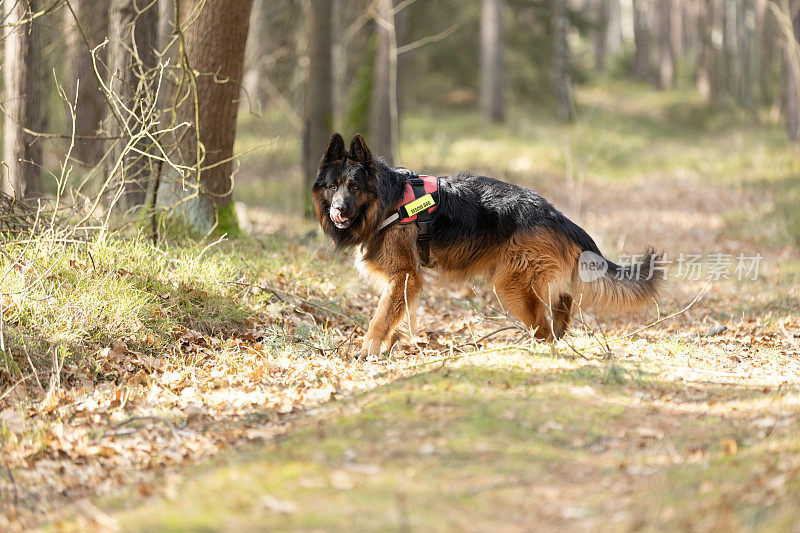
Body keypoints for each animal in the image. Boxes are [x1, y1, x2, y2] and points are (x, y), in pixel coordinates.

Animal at [312, 133, 664, 358]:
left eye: (354, 187)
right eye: (333, 186)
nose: (338, 211)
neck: (388, 201)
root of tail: (556, 215)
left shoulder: (404, 276)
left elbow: (381, 317)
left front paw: (367, 351)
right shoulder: (407, 283)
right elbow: (397, 316)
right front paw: (389, 346)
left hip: (511, 286)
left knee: (544, 323)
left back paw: (536, 348)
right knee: (562, 301)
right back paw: (557, 334)